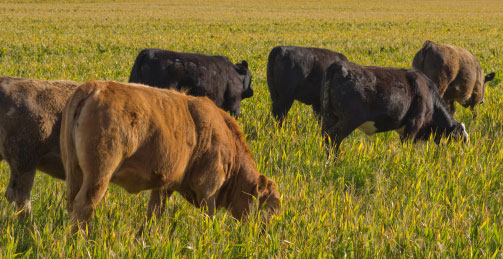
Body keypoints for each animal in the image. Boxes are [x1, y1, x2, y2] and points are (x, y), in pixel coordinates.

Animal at [61, 81, 282, 234]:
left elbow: (154, 213)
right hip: (99, 175)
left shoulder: (164, 187)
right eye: (269, 207)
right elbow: (208, 218)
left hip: (76, 172)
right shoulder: (209, 189)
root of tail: (94, 87)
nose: (264, 235)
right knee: (85, 204)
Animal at [320, 61, 470, 154]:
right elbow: (408, 148)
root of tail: (339, 65)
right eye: (462, 139)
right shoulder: (414, 125)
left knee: (325, 137)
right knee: (334, 137)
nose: (464, 154)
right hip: (350, 119)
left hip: (329, 117)